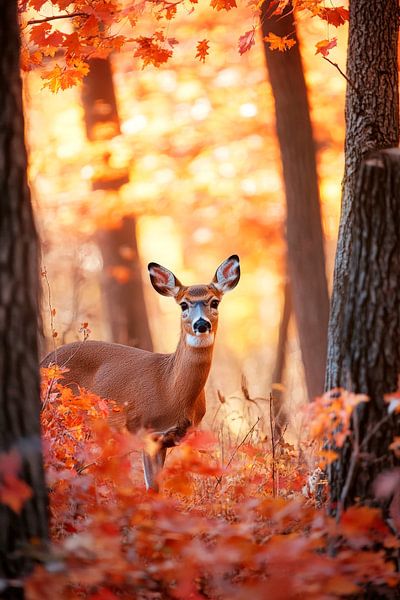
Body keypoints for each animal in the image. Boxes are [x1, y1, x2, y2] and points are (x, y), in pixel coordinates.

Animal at [41, 254, 241, 492]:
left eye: (214, 302)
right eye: (183, 304)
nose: (201, 324)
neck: (170, 388)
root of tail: (44, 360)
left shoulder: (166, 440)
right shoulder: (145, 431)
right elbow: (151, 489)